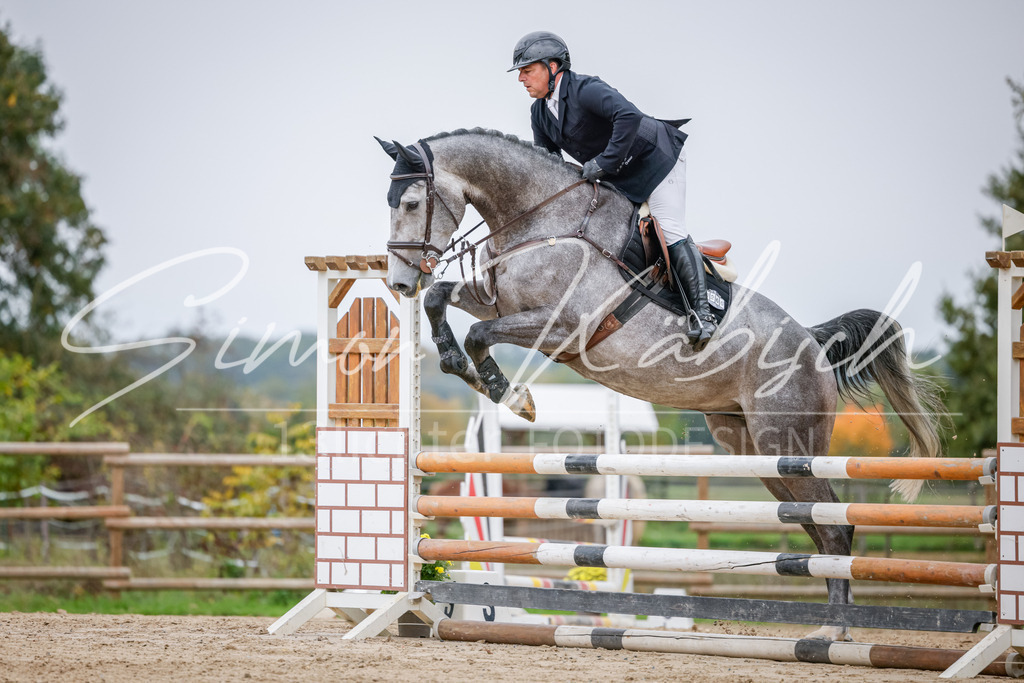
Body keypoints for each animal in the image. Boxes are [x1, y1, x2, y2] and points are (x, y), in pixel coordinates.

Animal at [376, 128, 944, 641]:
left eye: (411, 202)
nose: (400, 282)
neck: (545, 219)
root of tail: (812, 342)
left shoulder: (562, 327)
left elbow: (479, 334)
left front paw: (510, 393)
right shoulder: (498, 301)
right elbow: (443, 301)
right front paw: (458, 362)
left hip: (789, 440)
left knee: (834, 526)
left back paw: (835, 631)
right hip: (753, 445)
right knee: (815, 526)